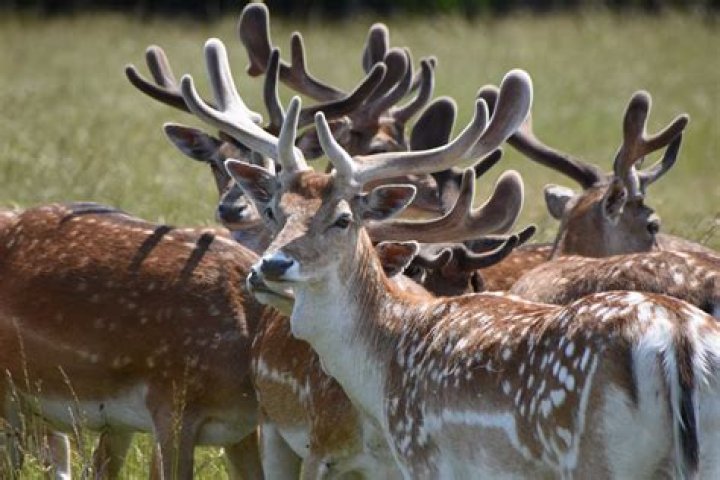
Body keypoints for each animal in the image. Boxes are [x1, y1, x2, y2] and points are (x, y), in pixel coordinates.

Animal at [225, 73, 720, 477]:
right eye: (275, 211)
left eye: (343, 219)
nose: (270, 265)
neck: (381, 368)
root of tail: (677, 336)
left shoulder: (422, 453)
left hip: (597, 456)